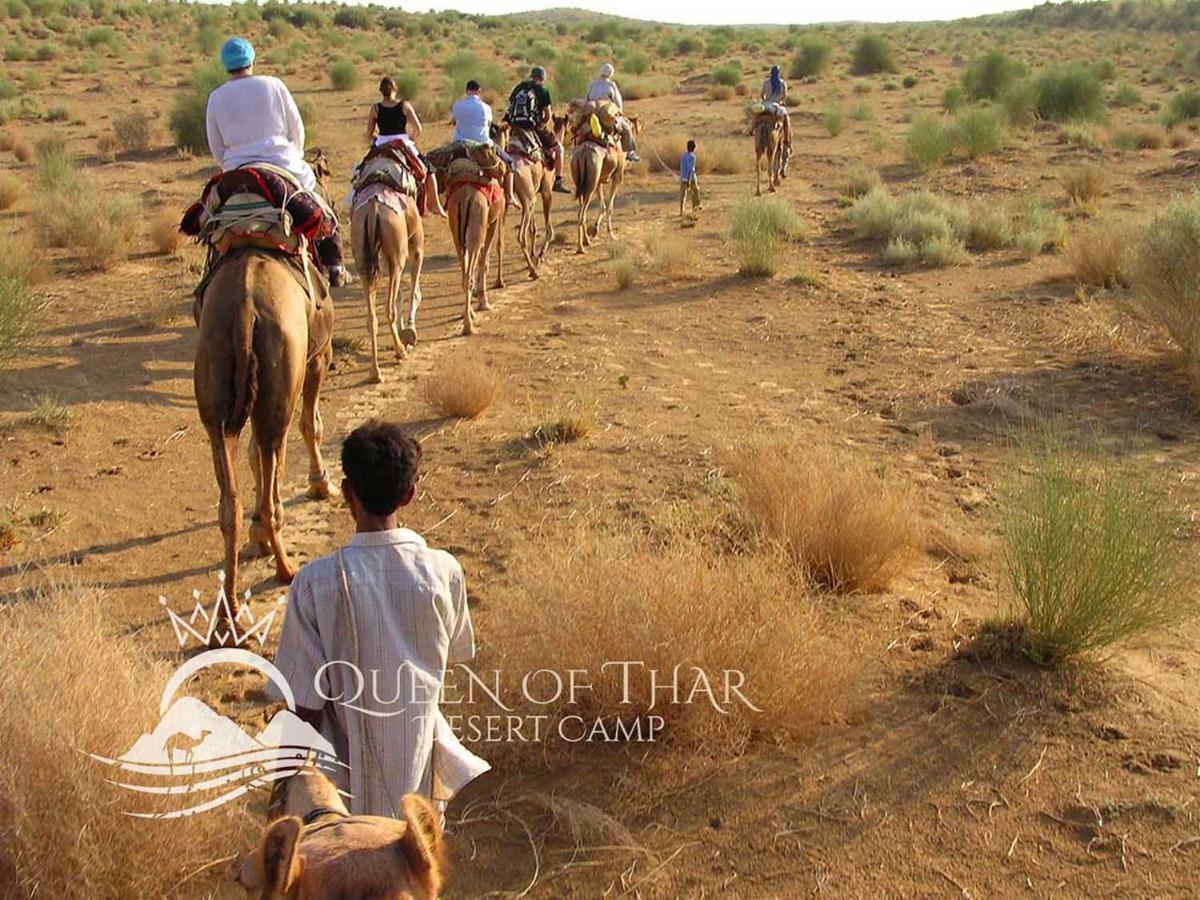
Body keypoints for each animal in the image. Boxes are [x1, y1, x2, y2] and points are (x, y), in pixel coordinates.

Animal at [193, 248, 333, 614]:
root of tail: (244, 309)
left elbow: (253, 452)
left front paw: (256, 537)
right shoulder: (318, 356)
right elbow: (311, 425)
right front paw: (320, 483)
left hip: (215, 391)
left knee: (229, 502)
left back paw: (228, 609)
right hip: (282, 379)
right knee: (273, 472)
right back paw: (285, 569)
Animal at [350, 195, 424, 381]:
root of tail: (373, 209)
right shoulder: (416, 244)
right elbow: (415, 293)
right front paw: (410, 331)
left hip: (362, 259)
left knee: (371, 318)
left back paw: (375, 372)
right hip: (398, 255)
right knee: (389, 309)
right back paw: (400, 351)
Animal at [448, 172, 508, 336]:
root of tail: (465, 196)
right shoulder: (493, 221)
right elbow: (486, 261)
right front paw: (484, 302)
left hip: (457, 231)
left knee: (464, 273)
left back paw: (468, 315)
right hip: (478, 222)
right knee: (468, 275)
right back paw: (468, 327)